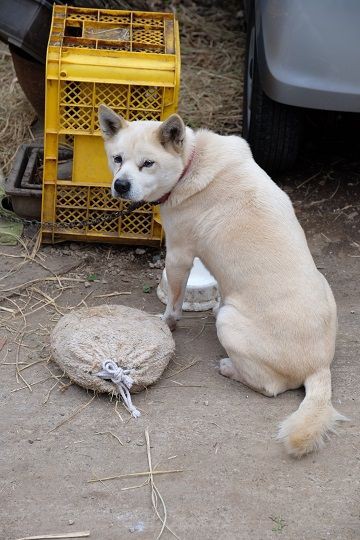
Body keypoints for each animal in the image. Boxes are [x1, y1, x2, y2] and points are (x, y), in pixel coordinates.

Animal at [98, 104, 346, 456]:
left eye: (148, 163)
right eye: (117, 159)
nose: (120, 185)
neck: (190, 162)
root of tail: (320, 366)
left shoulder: (178, 256)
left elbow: (173, 305)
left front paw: (166, 323)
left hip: (229, 322)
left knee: (271, 387)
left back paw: (229, 368)